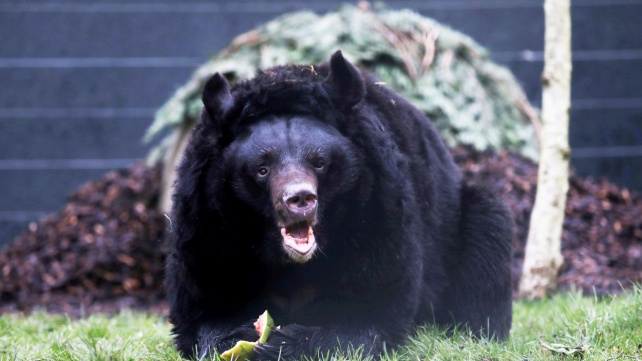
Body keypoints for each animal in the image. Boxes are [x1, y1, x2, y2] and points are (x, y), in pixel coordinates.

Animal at [165, 51, 510, 360]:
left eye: (319, 162)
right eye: (262, 169)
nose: (300, 199)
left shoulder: (379, 211)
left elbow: (372, 310)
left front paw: (282, 344)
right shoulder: (207, 228)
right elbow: (205, 305)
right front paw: (240, 336)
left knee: (487, 245)